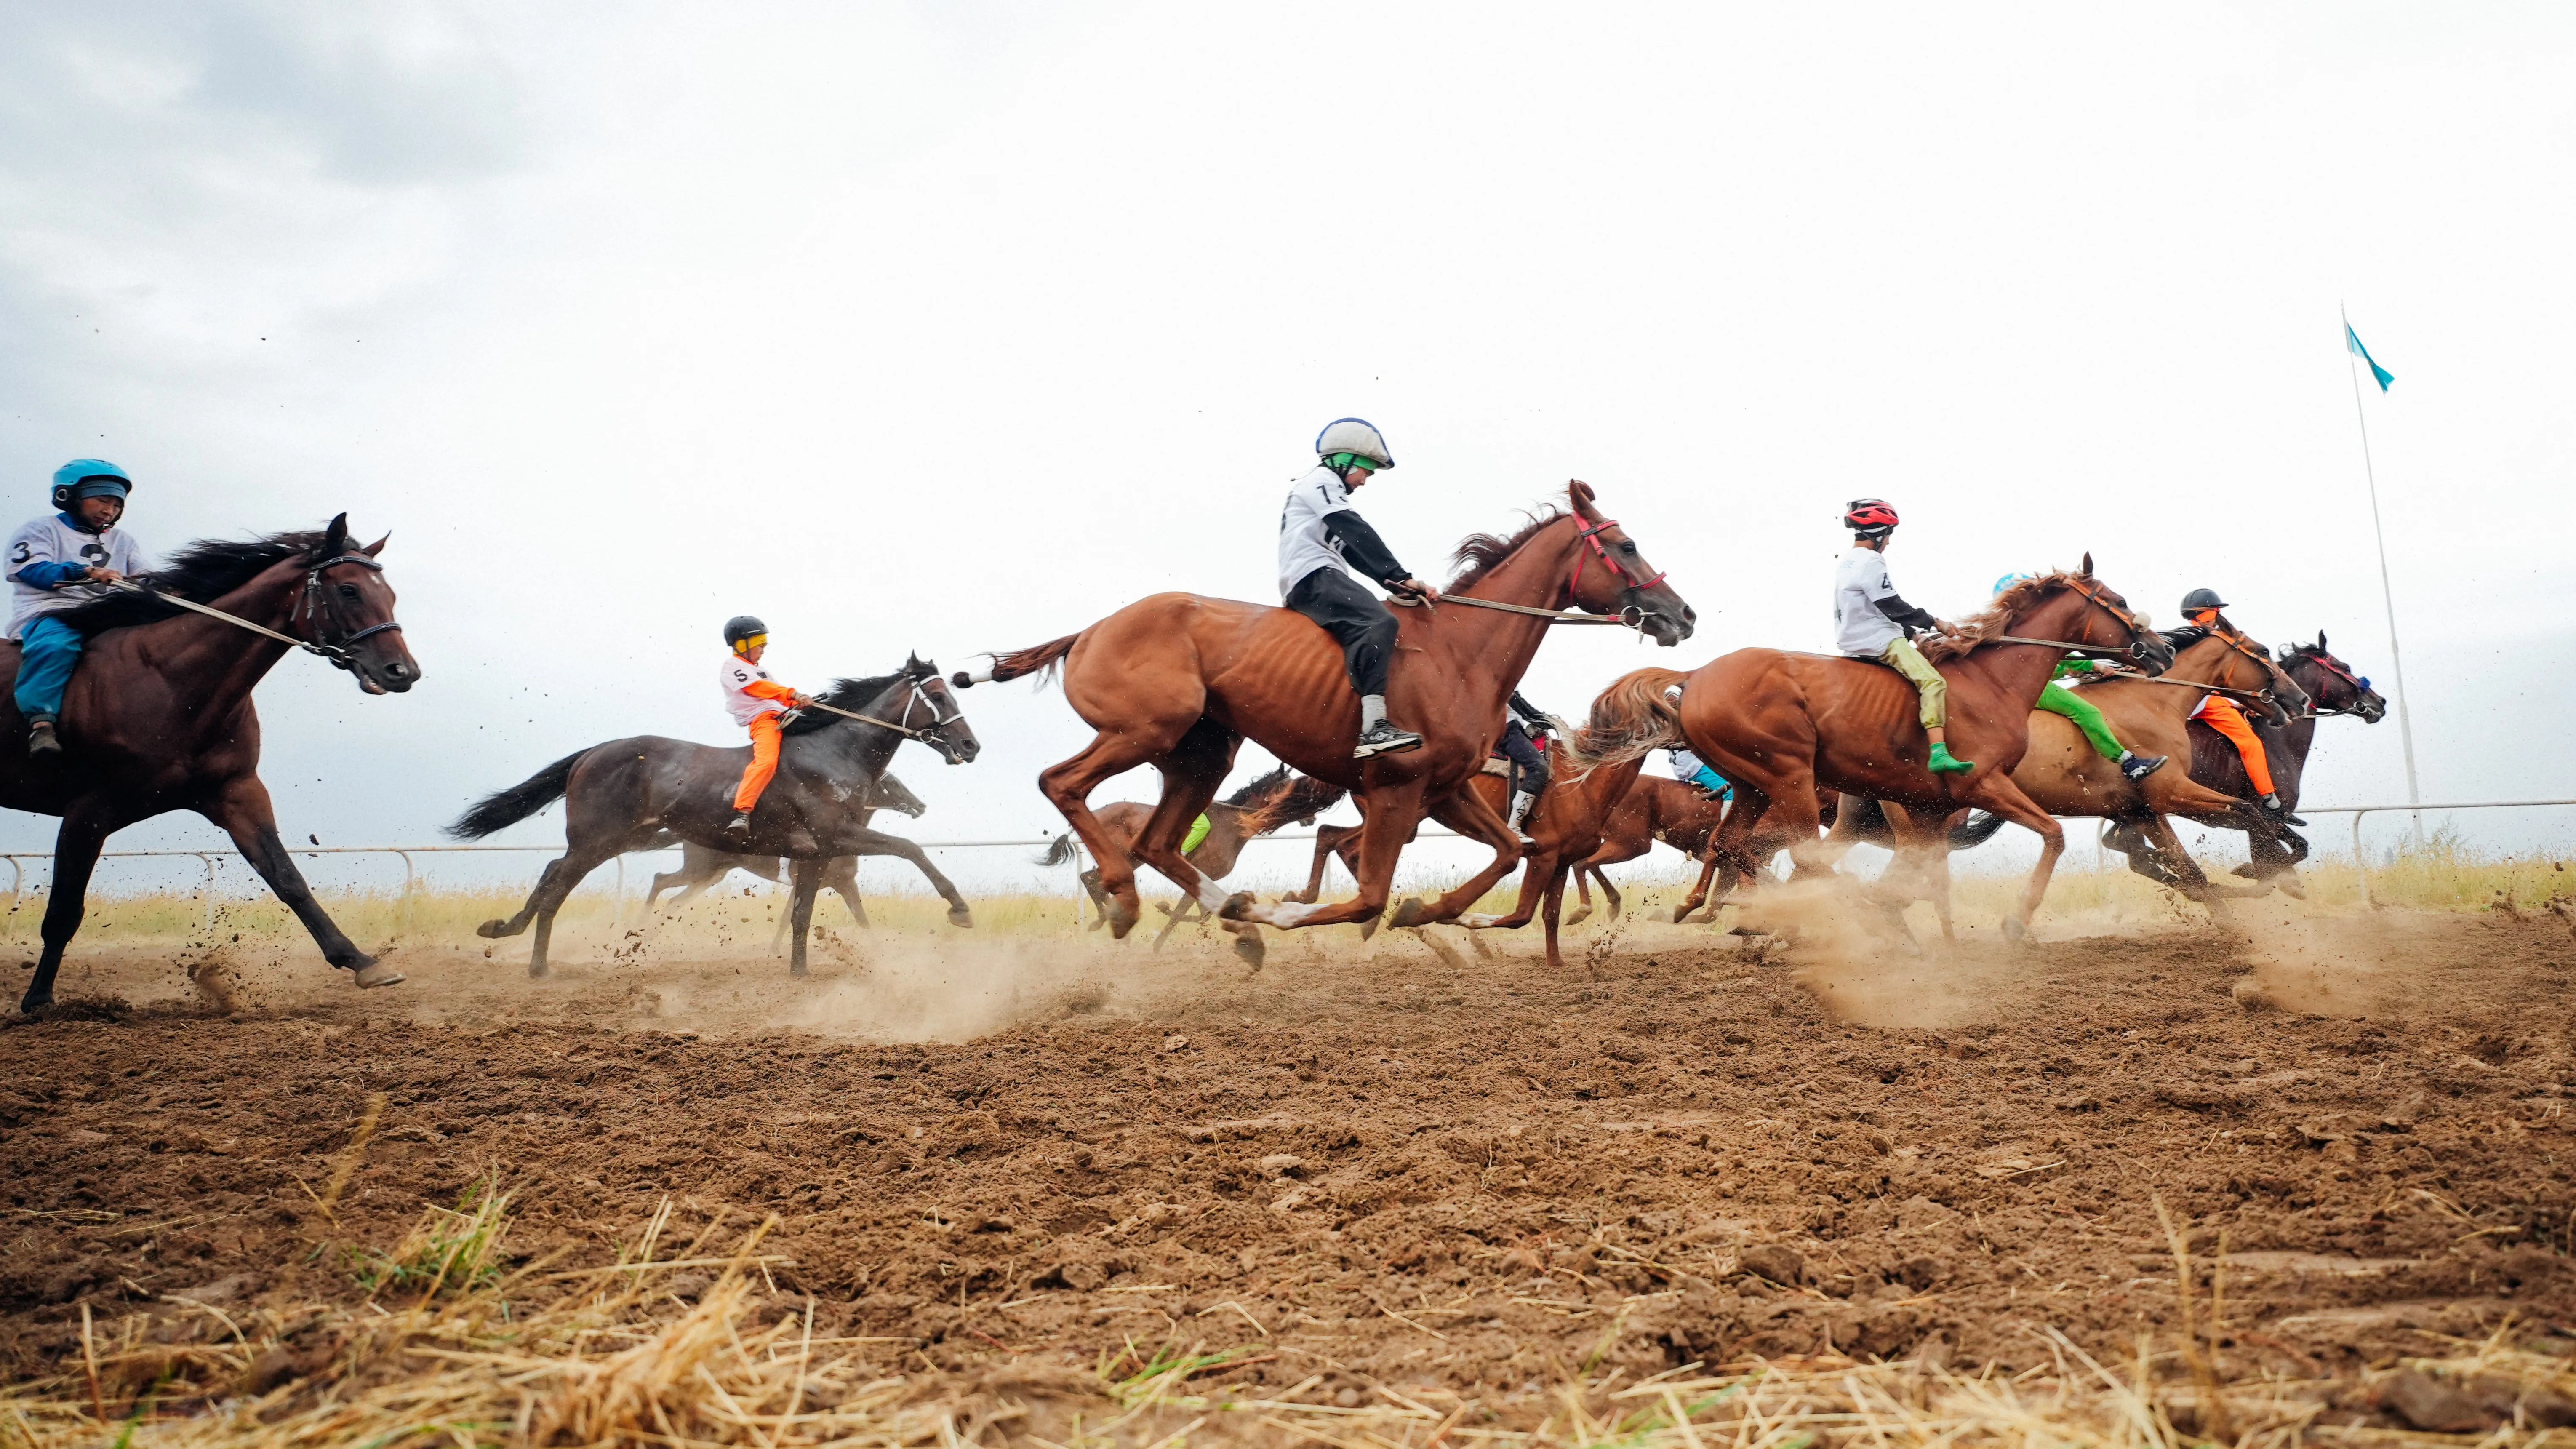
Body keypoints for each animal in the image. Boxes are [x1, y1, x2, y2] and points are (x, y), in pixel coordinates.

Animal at [1, 513, 412, 1011]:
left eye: (390, 593)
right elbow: (63, 909)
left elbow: (288, 879)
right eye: (349, 590)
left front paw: (363, 962)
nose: (403, 671)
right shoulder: (87, 809)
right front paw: (39, 999)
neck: (171, 681)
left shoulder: (235, 792)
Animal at [453, 657, 973, 974]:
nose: (971, 745)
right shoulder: (837, 835)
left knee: (551, 872)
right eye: (939, 697)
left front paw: (799, 970)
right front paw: (959, 908)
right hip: (597, 840)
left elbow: (803, 914)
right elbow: (910, 849)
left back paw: (505, 929)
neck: (832, 754)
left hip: (617, 840)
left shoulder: (817, 853)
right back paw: (537, 963)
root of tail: (593, 753)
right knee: (560, 883)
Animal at [1030, 758, 1349, 949]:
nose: (1311, 816)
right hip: (1127, 856)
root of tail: (1095, 813)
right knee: (1091, 878)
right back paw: (1106, 916)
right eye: (1291, 785)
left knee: (1092, 878)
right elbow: (1185, 914)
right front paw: (1159, 938)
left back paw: (1109, 916)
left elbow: (1203, 915)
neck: (1231, 824)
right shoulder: (1202, 873)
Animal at [1669, 559, 2174, 943]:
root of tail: (1695, 677)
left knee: (1731, 844)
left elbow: (1925, 879)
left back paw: (1709, 907)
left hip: (1751, 785)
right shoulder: (1982, 784)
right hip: (1789, 779)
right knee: (1800, 857)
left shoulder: (1931, 809)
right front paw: (2016, 920)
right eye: (2120, 601)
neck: (1992, 682)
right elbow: (2053, 835)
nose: (2163, 649)